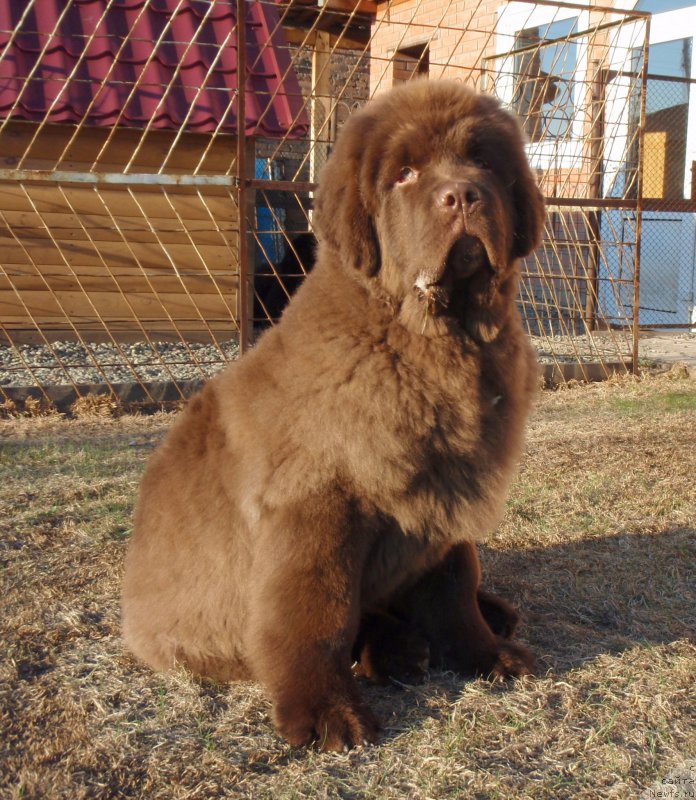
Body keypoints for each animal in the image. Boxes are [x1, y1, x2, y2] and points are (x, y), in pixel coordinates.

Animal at [122, 79, 548, 752]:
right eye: (405, 173)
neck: (431, 342)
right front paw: (326, 712)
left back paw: (479, 618)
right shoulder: (315, 506)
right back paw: (395, 649)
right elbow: (316, 614)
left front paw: (484, 653)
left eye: (482, 162)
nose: (463, 195)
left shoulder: (444, 491)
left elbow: (456, 581)